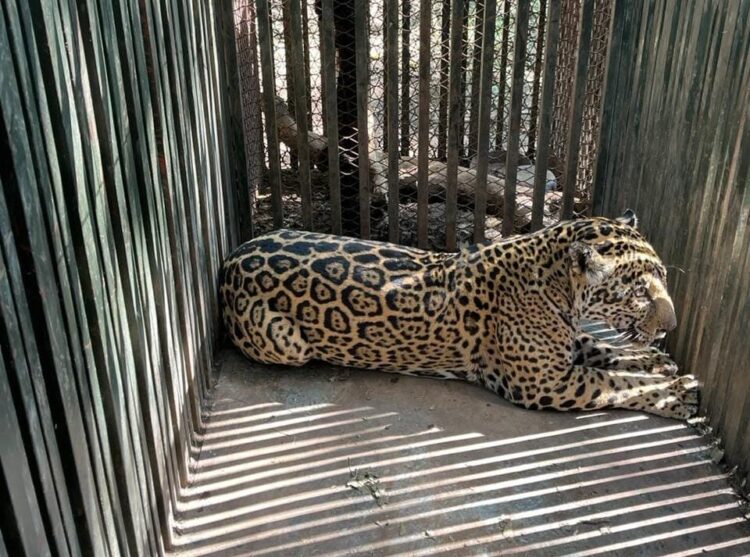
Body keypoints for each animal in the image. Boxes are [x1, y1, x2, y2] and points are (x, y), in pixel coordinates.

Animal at [219, 210, 698, 420]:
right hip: (287, 344)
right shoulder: (546, 384)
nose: (672, 327)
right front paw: (676, 394)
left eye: (662, 277)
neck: (558, 288)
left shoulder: (564, 347)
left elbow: (603, 349)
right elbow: (615, 384)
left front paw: (656, 361)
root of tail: (231, 256)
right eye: (640, 291)